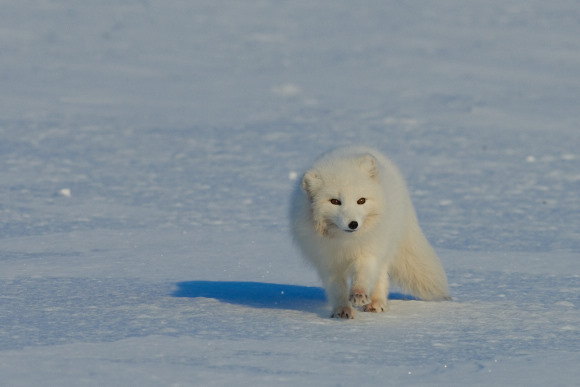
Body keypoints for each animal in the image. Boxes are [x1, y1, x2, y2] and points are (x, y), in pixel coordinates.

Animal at [292, 146, 450, 318]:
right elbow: (337, 289)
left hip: (386, 246)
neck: (346, 242)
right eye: (335, 201)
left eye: (361, 200)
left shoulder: (368, 252)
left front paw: (359, 295)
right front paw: (342, 310)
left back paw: (376, 303)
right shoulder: (328, 262)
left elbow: (363, 275)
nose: (353, 224)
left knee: (380, 277)